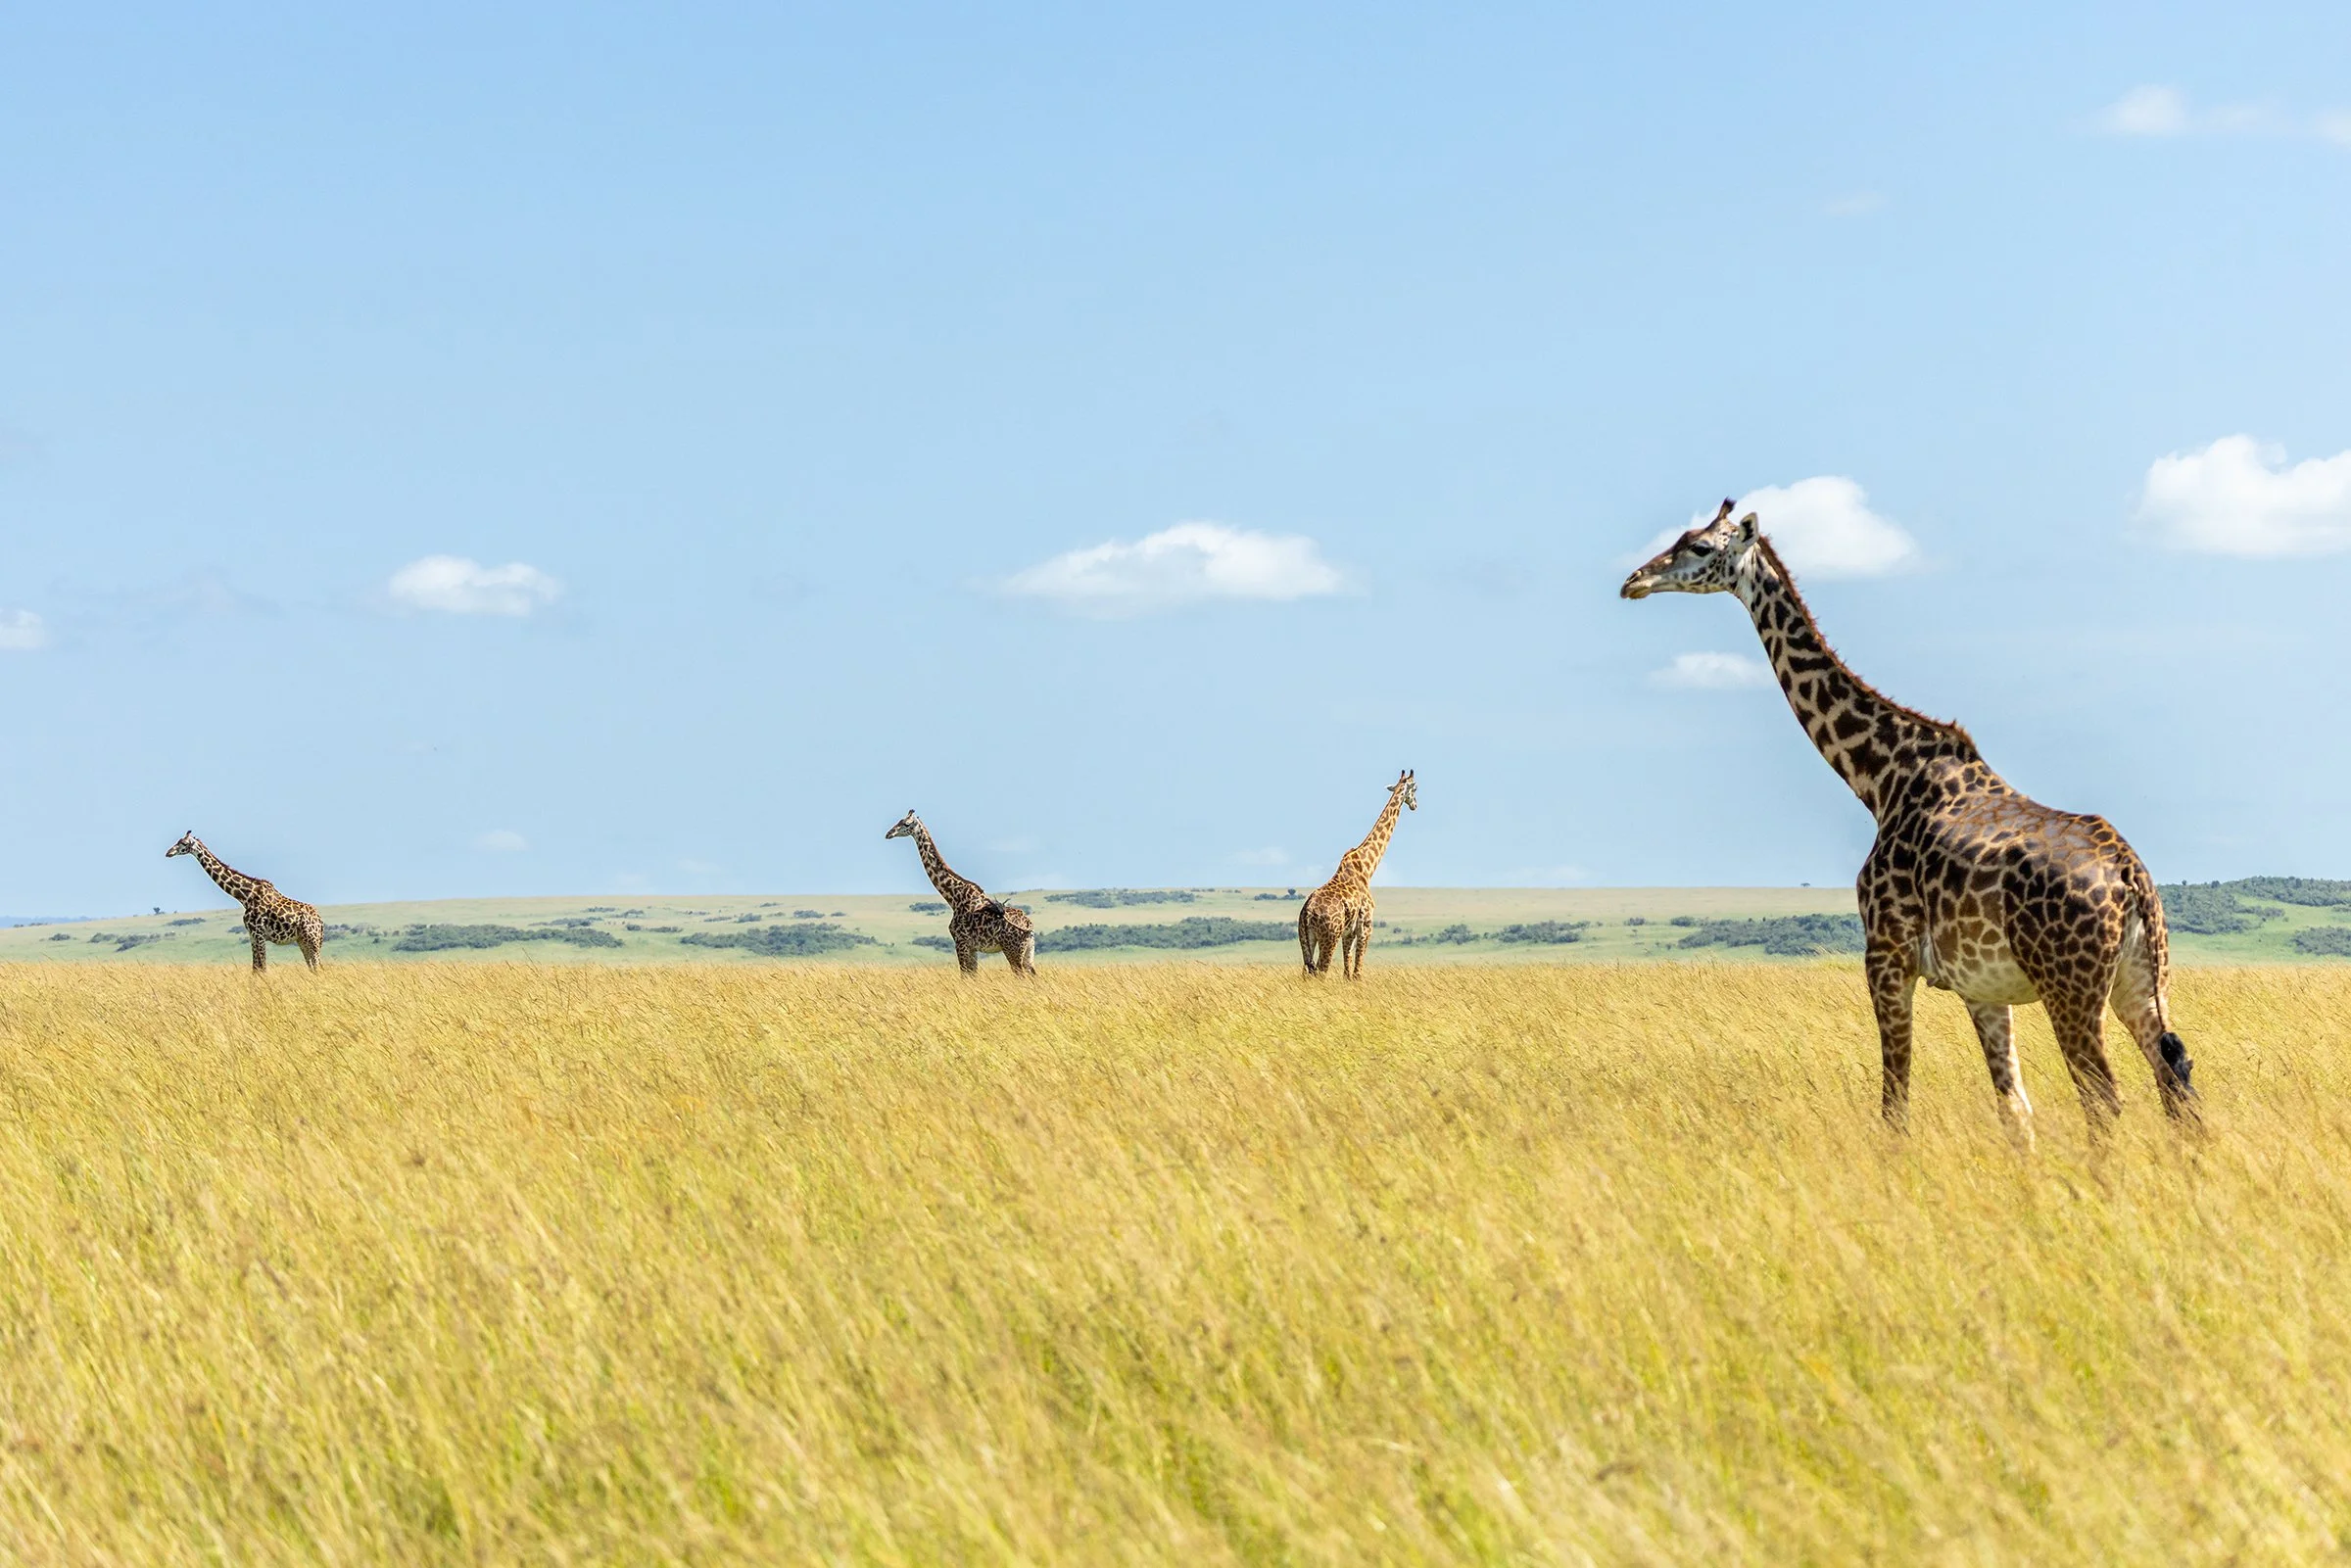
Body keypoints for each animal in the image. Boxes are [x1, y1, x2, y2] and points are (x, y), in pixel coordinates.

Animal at [165, 831, 325, 973]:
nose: (168, 852)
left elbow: (262, 969)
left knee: (318, 966)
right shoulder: (252, 935)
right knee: (313, 967)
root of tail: (320, 922)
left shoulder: (259, 934)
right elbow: (255, 969)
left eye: (183, 843)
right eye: (178, 841)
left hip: (312, 940)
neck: (245, 896)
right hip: (302, 941)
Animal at [885, 811, 1037, 976]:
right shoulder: (972, 947)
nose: (889, 834)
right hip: (1028, 951)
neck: (954, 897)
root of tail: (1029, 925)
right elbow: (972, 975)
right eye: (898, 821)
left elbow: (964, 975)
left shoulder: (961, 942)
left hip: (1012, 950)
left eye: (906, 823)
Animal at [1299, 769, 1417, 980]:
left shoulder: (1349, 932)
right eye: (1416, 789)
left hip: (1306, 938)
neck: (1367, 868)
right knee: (1321, 971)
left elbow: (1347, 973)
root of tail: (1308, 911)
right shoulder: (1365, 927)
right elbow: (1357, 972)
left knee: (1307, 972)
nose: (1415, 805)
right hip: (1329, 936)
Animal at [1622, 501, 2195, 1137]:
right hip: (2142, 982)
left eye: (1699, 547)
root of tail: (2130, 876)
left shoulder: (1886, 955)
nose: (1634, 581)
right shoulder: (1982, 987)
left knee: (2105, 1099)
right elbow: (2014, 1110)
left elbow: (1894, 1105)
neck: (1881, 781)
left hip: (2069, 986)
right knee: (2176, 1086)